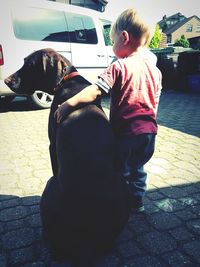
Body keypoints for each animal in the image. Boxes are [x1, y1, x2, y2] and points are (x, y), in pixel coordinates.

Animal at [4, 48, 131, 267]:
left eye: (28, 64)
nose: (6, 80)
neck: (66, 80)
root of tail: (85, 247)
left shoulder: (51, 145)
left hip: (49, 187)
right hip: (123, 186)